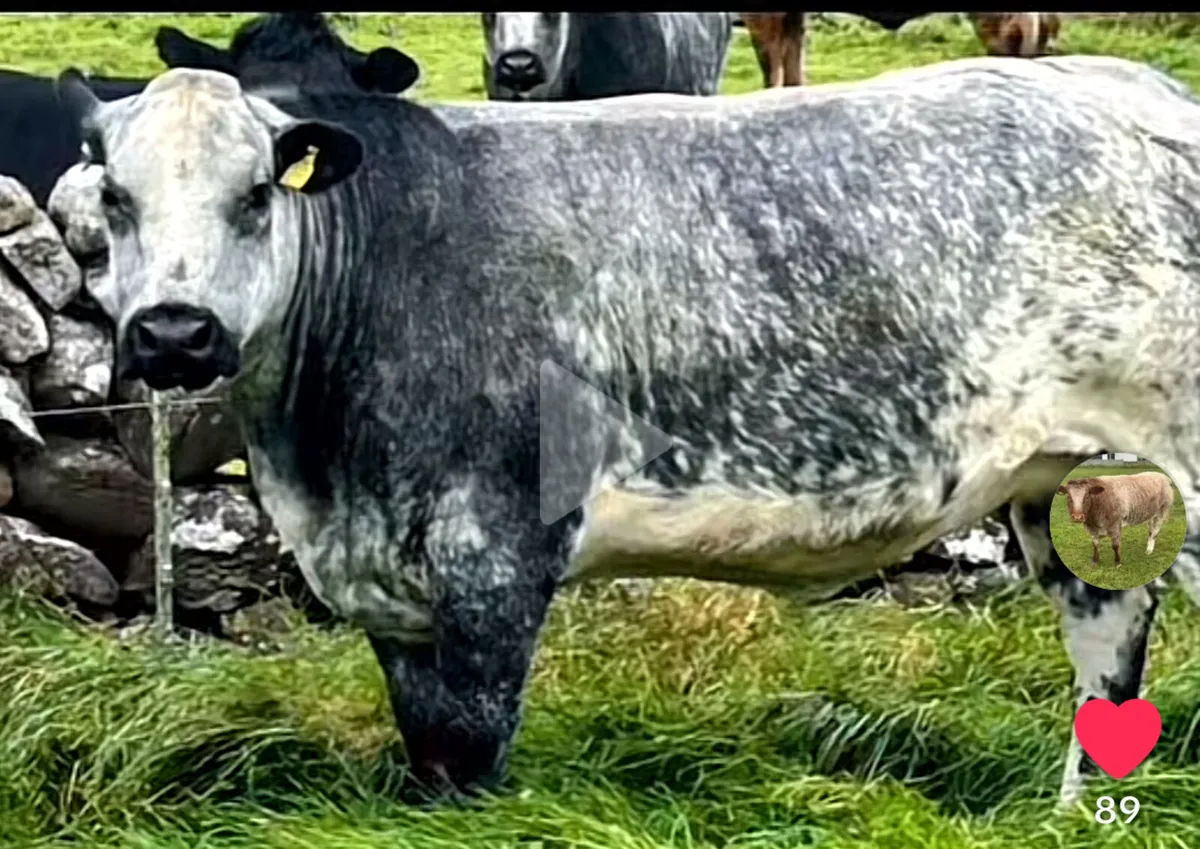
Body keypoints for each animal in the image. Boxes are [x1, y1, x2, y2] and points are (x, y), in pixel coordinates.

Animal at [55, 54, 1200, 809]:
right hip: (1068, 481)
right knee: (1108, 637)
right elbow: (425, 747)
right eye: (114, 195)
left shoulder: (496, 551)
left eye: (256, 194)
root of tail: (1142, 84)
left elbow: (471, 749)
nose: (174, 330)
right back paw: (1076, 816)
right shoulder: (392, 586)